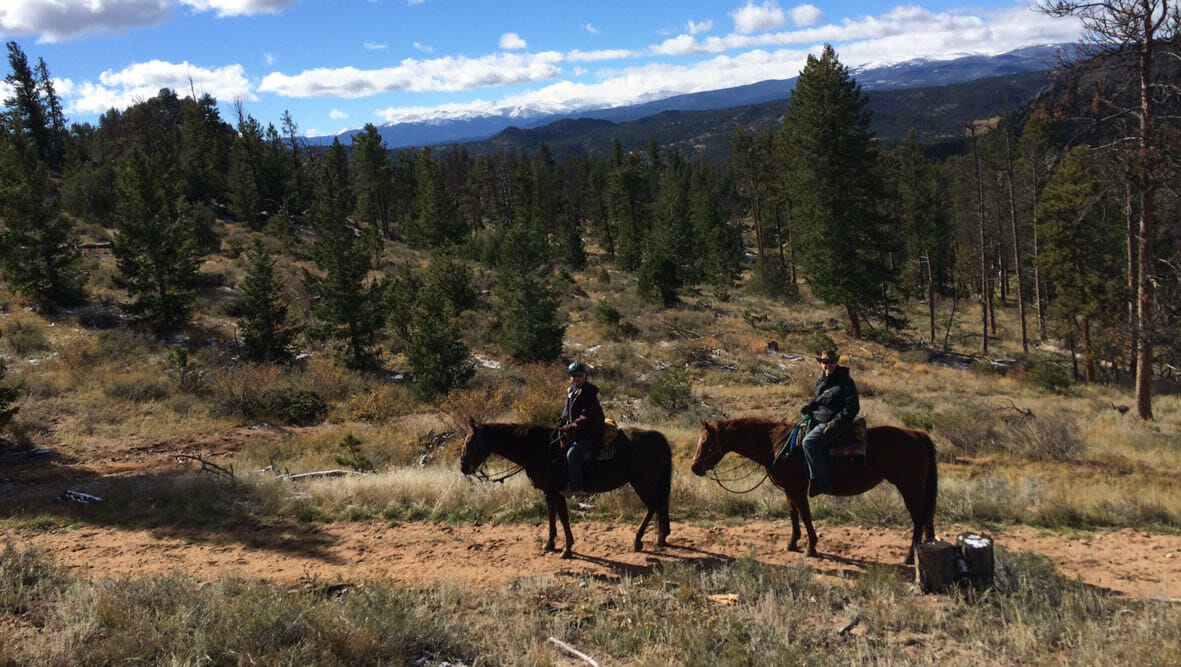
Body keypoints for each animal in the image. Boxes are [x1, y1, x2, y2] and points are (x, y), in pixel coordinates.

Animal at [455, 420, 670, 557]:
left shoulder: (556, 492)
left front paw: (567, 549)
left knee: (653, 506)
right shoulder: (548, 492)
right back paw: (661, 537)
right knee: (660, 506)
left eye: (470, 442)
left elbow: (563, 516)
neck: (539, 449)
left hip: (642, 483)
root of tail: (658, 437)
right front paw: (550, 544)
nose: (463, 466)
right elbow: (552, 516)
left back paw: (638, 541)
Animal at [689, 415, 935, 561]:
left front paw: (811, 547)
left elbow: (805, 514)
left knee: (918, 517)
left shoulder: (797, 489)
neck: (777, 445)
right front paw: (792, 543)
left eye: (706, 443)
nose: (694, 467)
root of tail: (916, 434)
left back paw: (909, 557)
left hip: (909, 487)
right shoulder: (789, 489)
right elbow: (793, 514)